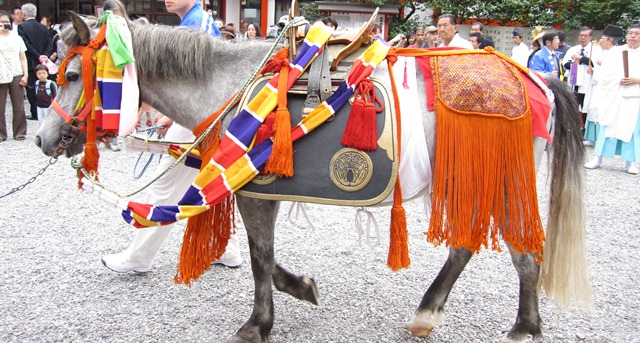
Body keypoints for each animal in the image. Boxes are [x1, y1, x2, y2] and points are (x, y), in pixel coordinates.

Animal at [36, 12, 592, 342]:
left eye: (70, 75)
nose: (43, 138)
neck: (232, 86)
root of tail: (535, 76)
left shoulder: (253, 190)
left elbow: (260, 258)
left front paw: (258, 323)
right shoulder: (258, 187)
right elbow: (267, 258)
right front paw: (300, 286)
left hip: (499, 177)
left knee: (519, 252)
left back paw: (522, 326)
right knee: (473, 246)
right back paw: (436, 312)